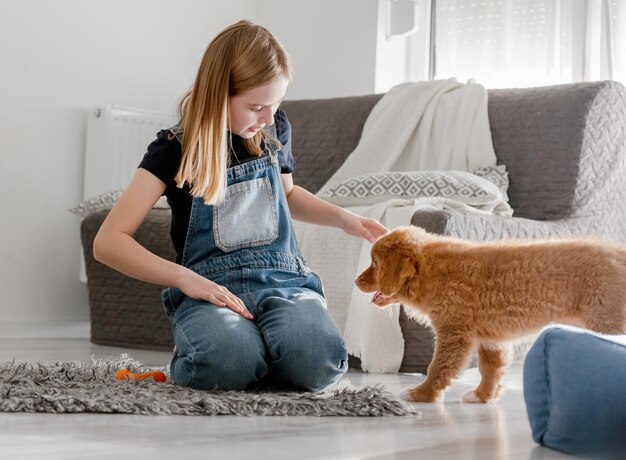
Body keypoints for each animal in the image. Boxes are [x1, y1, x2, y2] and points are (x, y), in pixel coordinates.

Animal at [354, 226, 624, 402]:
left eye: (376, 263)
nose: (356, 281)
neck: (431, 272)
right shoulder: (490, 337)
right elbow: (490, 368)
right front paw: (483, 395)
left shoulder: (454, 332)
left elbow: (438, 366)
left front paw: (422, 394)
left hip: (607, 321)